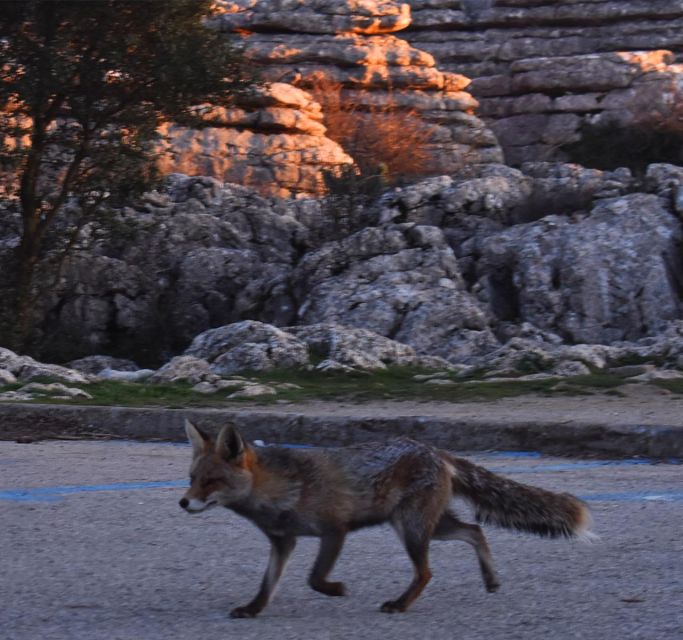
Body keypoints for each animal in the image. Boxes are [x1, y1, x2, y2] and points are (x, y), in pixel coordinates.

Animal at [179, 418, 596, 616]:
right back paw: (490, 579)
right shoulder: (284, 541)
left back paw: (401, 604)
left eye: (212, 481)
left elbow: (315, 578)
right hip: (430, 526)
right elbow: (267, 585)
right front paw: (253, 609)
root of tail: (435, 450)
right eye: (192, 478)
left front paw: (337, 590)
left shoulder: (335, 530)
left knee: (426, 572)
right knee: (475, 530)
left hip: (411, 529)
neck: (280, 491)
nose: (183, 503)